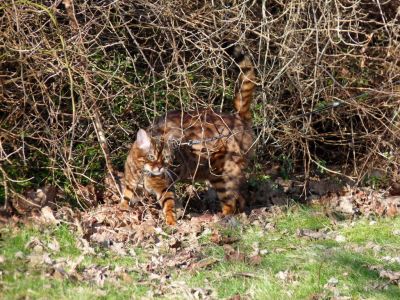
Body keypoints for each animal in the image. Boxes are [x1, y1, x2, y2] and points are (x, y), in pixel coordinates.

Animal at [120, 43, 256, 224]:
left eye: (166, 158)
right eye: (151, 156)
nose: (159, 167)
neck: (143, 172)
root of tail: (238, 117)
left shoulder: (165, 187)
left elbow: (168, 205)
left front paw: (171, 222)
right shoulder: (131, 184)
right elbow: (126, 198)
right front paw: (120, 211)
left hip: (221, 173)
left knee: (231, 200)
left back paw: (222, 218)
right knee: (240, 196)